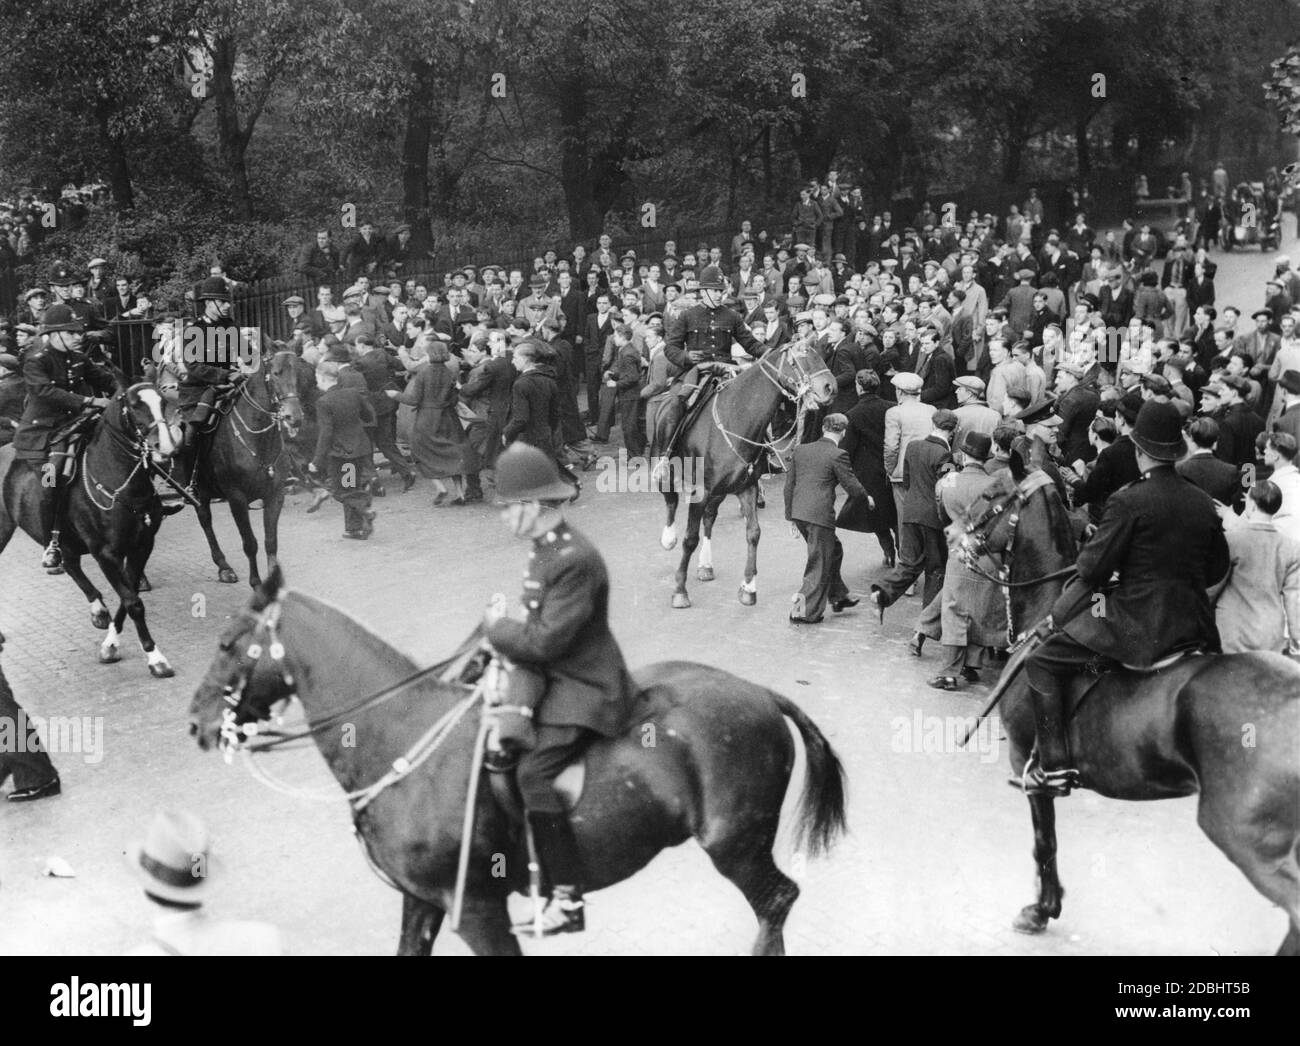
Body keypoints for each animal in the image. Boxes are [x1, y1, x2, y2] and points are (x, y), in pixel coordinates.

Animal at [0, 387, 178, 675]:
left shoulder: (141, 547)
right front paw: (155, 657)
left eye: (162, 401)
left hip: (68, 540)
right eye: (134, 405)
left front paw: (110, 645)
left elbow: (128, 598)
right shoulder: (105, 553)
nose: (166, 447)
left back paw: (98, 610)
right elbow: (134, 603)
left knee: (71, 564)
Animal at [188, 571, 847, 956]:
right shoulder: (423, 901)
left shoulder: (478, 911)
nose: (196, 723)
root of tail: (761, 693)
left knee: (776, 903)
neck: (404, 738)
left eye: (226, 644)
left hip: (735, 844)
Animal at [189, 340, 300, 592]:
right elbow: (250, 542)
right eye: (276, 373)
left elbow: (271, 541)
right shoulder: (236, 498)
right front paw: (257, 583)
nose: (295, 417)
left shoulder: (275, 495)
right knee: (205, 520)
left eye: (299, 373)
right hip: (197, 490)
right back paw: (224, 567)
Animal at [660, 337, 832, 608]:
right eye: (802, 356)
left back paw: (706, 565)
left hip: (721, 490)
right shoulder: (701, 491)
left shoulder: (746, 487)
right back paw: (668, 538)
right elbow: (689, 538)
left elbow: (753, 533)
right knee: (669, 496)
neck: (736, 418)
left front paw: (748, 587)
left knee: (709, 517)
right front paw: (679, 590)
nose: (829, 387)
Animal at [956, 459, 1300, 951]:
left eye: (990, 496)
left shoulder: (1030, 768)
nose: (955, 535)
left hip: (1245, 836)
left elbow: (1045, 842)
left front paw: (1041, 910)